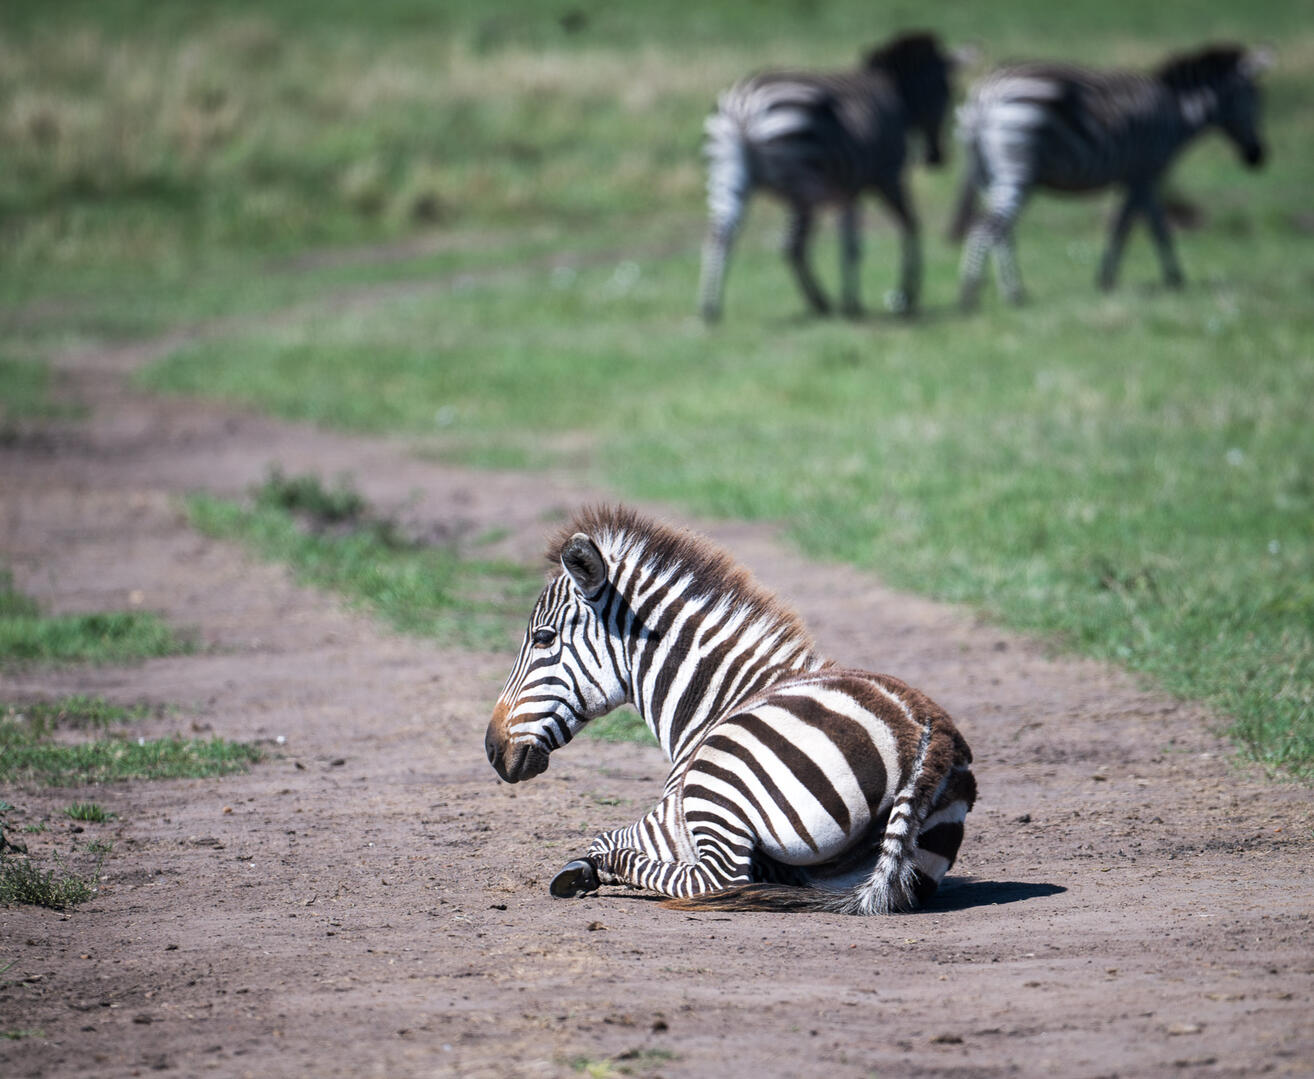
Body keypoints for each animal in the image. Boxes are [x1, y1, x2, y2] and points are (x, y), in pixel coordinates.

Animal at [485, 505, 977, 914]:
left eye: (543, 637)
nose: (492, 749)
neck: (719, 696)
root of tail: (927, 736)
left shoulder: (673, 814)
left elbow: (603, 835)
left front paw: (584, 868)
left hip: (717, 784)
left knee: (713, 879)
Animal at [697, 31, 957, 323]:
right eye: (947, 92)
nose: (936, 158)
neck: (894, 92)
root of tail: (744, 107)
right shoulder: (887, 176)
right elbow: (909, 226)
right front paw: (905, 296)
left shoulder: (848, 192)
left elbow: (850, 246)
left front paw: (852, 302)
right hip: (801, 185)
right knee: (792, 245)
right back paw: (820, 302)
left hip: (727, 174)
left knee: (720, 234)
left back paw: (710, 308)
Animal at [953, 43, 1273, 308]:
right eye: (1256, 99)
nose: (1258, 157)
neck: (1178, 113)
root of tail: (984, 97)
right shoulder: (1145, 173)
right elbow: (1138, 227)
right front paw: (1159, 279)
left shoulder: (1136, 177)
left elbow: (1141, 224)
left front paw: (1155, 277)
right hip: (1017, 168)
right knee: (986, 229)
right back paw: (971, 297)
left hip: (990, 177)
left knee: (1001, 232)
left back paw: (1013, 293)